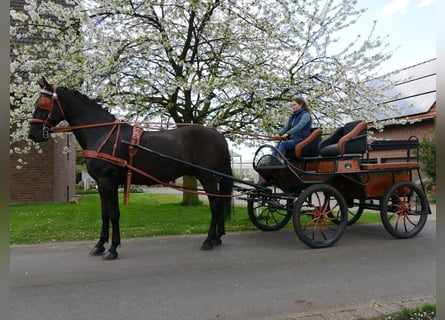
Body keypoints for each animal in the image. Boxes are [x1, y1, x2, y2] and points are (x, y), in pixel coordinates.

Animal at [28, 77, 232, 260]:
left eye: (44, 103)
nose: (33, 134)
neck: (101, 132)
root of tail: (218, 135)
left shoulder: (108, 181)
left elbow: (114, 214)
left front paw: (112, 249)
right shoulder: (101, 184)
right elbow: (104, 214)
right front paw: (99, 245)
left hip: (208, 176)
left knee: (215, 205)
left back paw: (208, 240)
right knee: (219, 203)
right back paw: (216, 238)